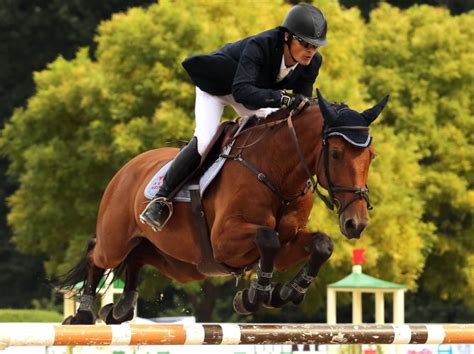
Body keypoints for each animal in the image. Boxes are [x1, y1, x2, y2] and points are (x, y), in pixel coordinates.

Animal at [58, 88, 388, 324]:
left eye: (371, 155)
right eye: (335, 153)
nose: (356, 223)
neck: (277, 173)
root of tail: (126, 169)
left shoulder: (288, 243)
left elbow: (321, 245)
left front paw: (285, 292)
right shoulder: (225, 242)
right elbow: (267, 237)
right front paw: (256, 295)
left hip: (180, 264)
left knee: (138, 257)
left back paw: (121, 309)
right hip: (116, 240)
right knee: (97, 253)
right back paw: (84, 314)